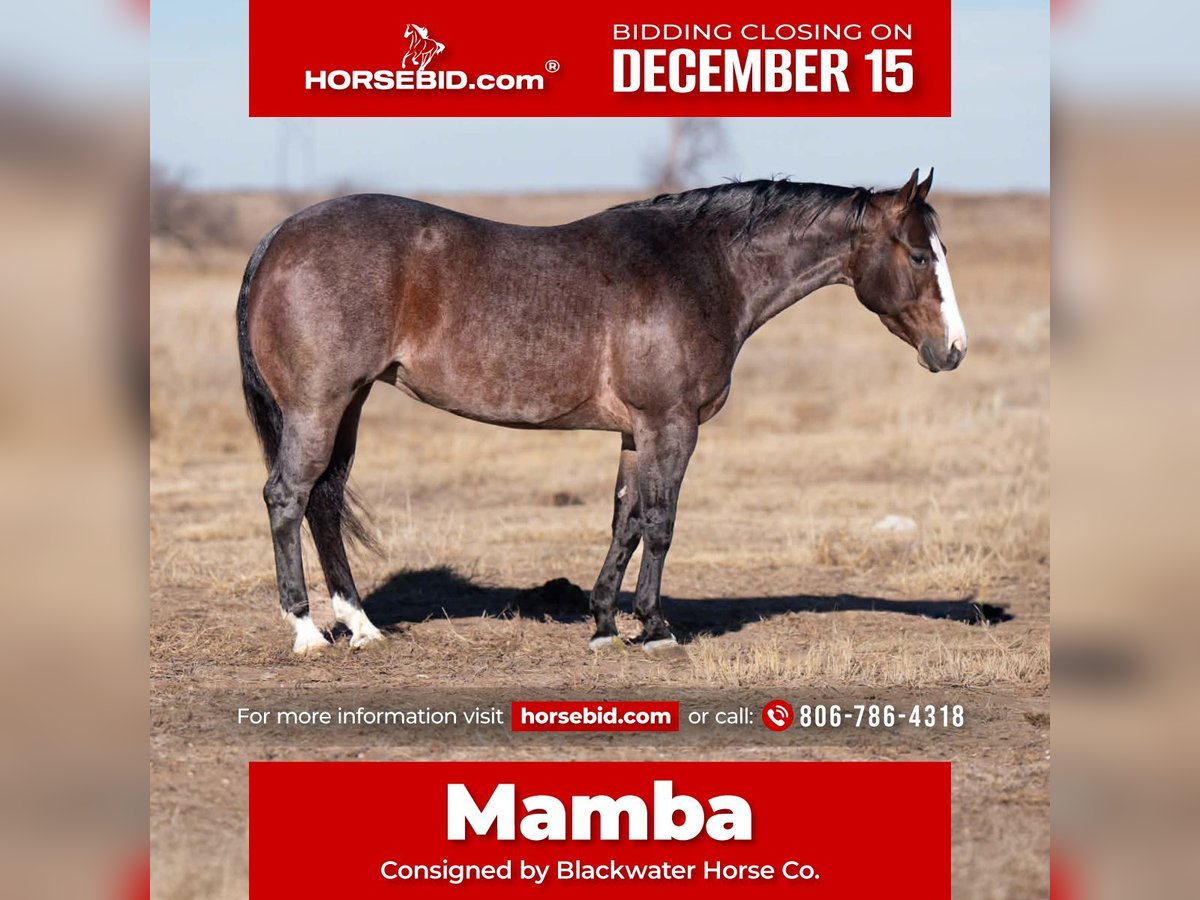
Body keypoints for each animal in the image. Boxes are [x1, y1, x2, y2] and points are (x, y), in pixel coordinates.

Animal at [236, 170, 967, 655]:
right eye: (919, 254)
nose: (954, 350)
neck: (702, 269)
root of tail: (277, 237)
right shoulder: (672, 424)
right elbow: (662, 523)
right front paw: (656, 628)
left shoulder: (635, 432)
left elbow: (627, 519)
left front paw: (606, 623)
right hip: (318, 406)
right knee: (287, 496)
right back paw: (308, 631)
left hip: (349, 404)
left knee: (325, 501)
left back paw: (361, 626)